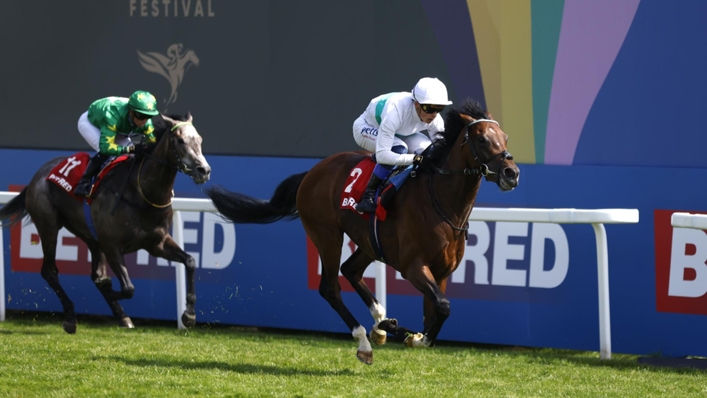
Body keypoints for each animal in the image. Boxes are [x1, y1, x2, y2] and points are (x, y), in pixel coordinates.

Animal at [0, 114, 210, 332]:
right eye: (180, 140)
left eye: (200, 140)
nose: (203, 170)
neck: (141, 192)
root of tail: (38, 176)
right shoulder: (111, 245)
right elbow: (127, 288)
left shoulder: (156, 243)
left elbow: (190, 261)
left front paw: (189, 315)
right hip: (48, 225)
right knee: (50, 271)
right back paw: (71, 317)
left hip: (89, 235)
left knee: (96, 275)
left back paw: (123, 317)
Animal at [205, 98, 520, 364]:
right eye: (481, 139)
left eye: (505, 138)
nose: (512, 173)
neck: (442, 203)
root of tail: (312, 172)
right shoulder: (414, 267)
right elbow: (442, 307)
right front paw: (414, 338)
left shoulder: (441, 273)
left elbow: (435, 311)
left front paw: (409, 333)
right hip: (327, 234)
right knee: (330, 288)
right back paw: (366, 341)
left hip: (370, 242)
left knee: (351, 270)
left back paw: (382, 324)